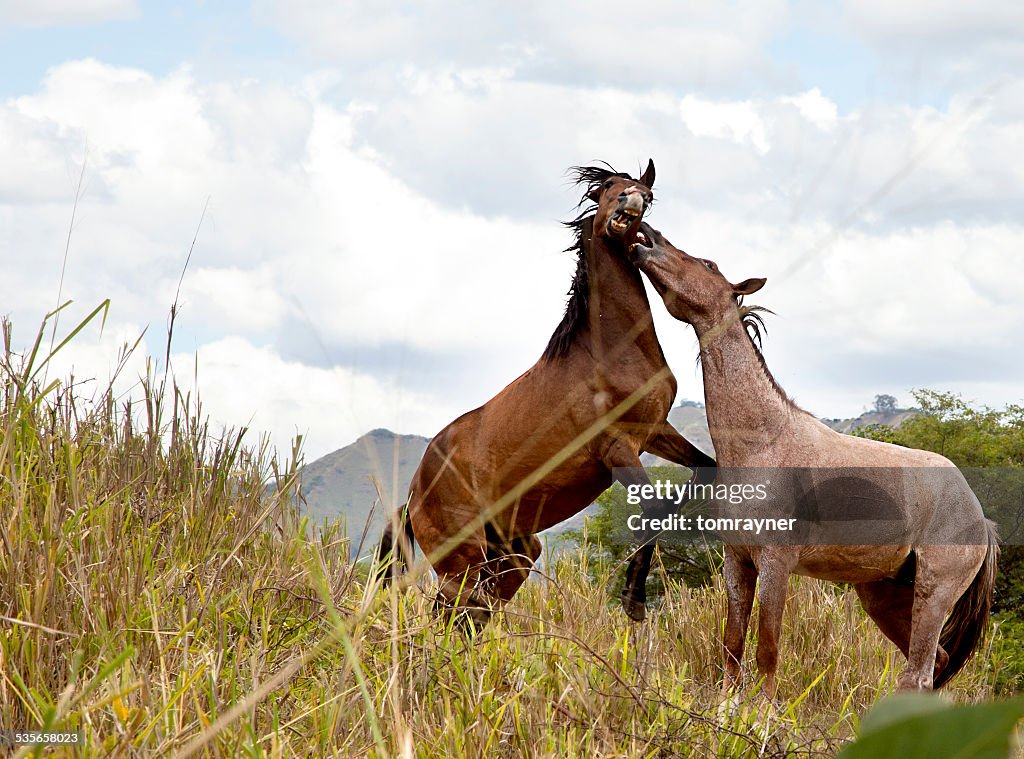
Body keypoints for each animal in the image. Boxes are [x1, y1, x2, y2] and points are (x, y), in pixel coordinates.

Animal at [372, 158, 716, 622]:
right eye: (608, 186)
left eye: (648, 194)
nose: (631, 201)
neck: (609, 352)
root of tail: (412, 496)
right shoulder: (616, 448)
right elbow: (655, 512)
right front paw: (633, 599)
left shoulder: (655, 431)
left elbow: (700, 476)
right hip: (461, 557)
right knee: (448, 613)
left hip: (513, 552)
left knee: (472, 614)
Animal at [626, 219, 995, 692]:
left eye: (708, 264)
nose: (648, 237)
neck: (764, 443)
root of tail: (980, 518)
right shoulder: (738, 563)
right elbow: (731, 648)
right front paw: (729, 705)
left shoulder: (776, 565)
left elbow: (767, 652)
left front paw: (764, 711)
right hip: (883, 595)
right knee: (933, 665)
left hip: (933, 594)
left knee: (919, 673)